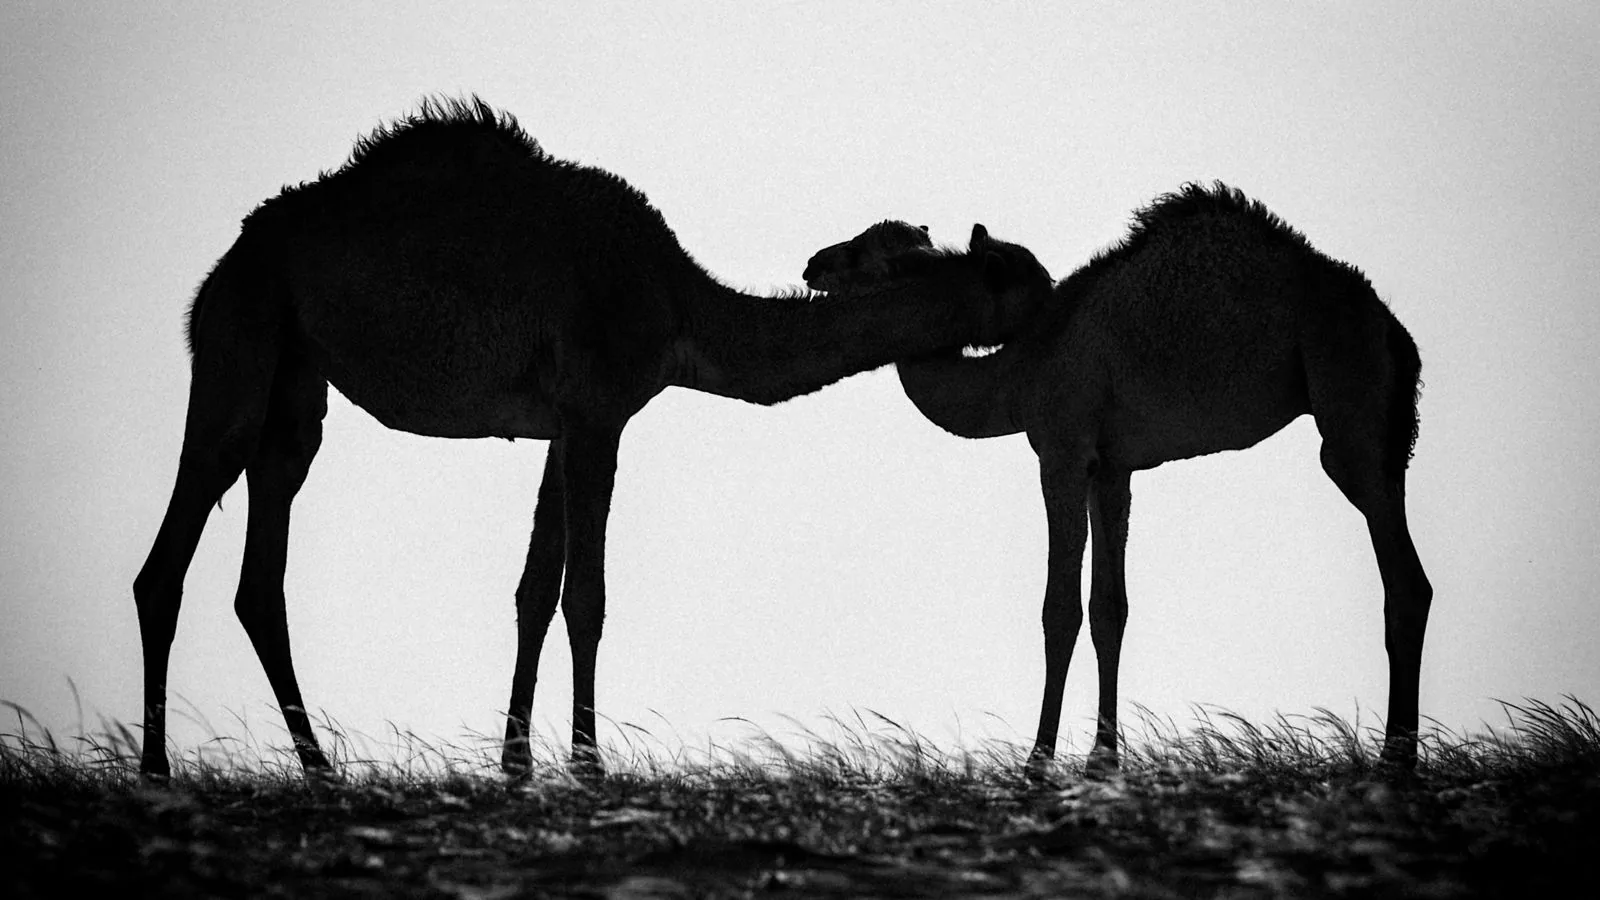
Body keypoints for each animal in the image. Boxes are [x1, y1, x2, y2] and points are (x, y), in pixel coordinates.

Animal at [133, 97, 1055, 780]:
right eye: (1013, 271)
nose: (1056, 293)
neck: (676, 304)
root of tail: (221, 267)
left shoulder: (563, 424)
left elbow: (535, 589)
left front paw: (517, 764)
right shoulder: (600, 412)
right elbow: (588, 595)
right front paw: (586, 764)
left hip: (296, 380)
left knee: (263, 563)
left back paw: (320, 769)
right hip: (242, 335)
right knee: (170, 554)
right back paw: (157, 770)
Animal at [803, 183, 1431, 774]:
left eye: (873, 259)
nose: (814, 264)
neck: (1024, 368)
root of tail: (1393, 328)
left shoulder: (1060, 450)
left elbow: (1060, 608)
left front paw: (1039, 760)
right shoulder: (1110, 468)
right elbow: (1110, 608)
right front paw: (1102, 759)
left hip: (1347, 392)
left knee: (1403, 575)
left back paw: (1395, 757)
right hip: (1381, 423)